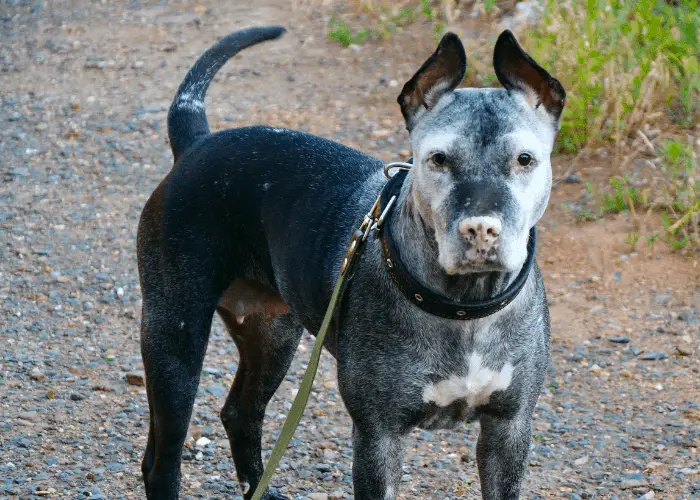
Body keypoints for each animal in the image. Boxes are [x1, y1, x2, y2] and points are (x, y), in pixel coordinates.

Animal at [139, 24, 568, 500]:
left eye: (525, 159)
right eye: (438, 159)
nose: (480, 228)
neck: (464, 307)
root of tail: (198, 143)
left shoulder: (508, 429)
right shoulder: (378, 436)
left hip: (272, 337)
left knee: (239, 413)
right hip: (175, 339)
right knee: (164, 458)